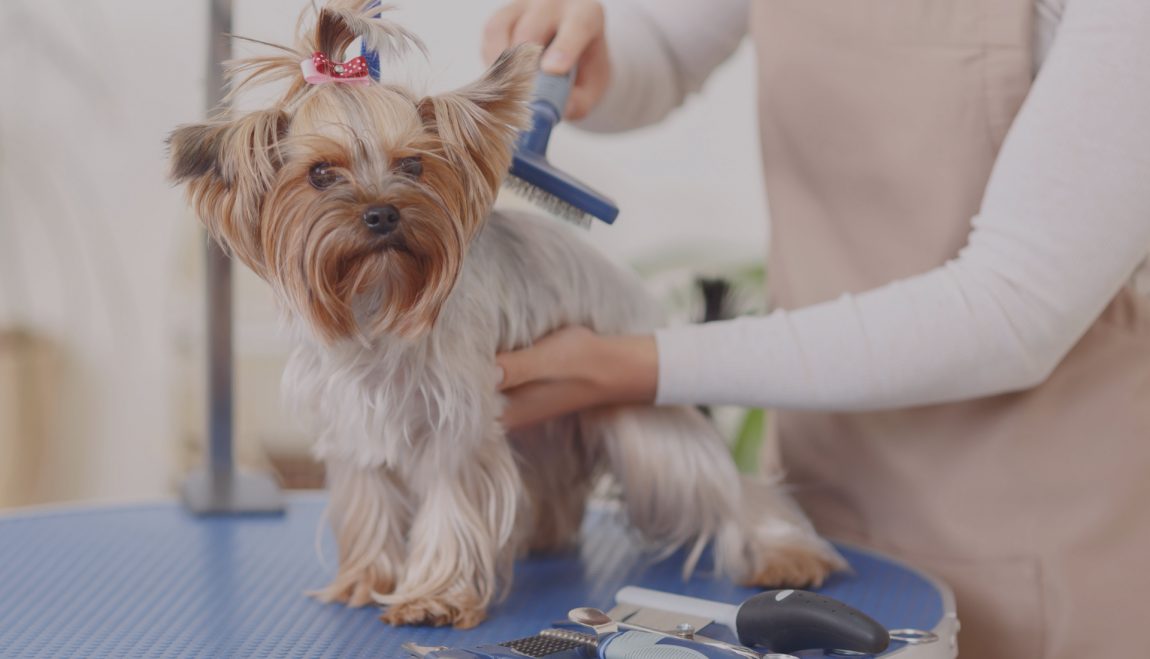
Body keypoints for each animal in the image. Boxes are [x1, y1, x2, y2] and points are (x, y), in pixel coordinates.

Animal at [166, 0, 841, 625]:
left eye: (413, 164)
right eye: (320, 173)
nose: (382, 214)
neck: (378, 300)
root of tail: (641, 299)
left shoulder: (457, 418)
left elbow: (450, 502)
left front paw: (432, 596)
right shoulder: (353, 422)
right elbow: (369, 499)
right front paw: (365, 577)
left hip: (645, 427)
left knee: (729, 487)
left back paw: (787, 556)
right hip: (543, 426)